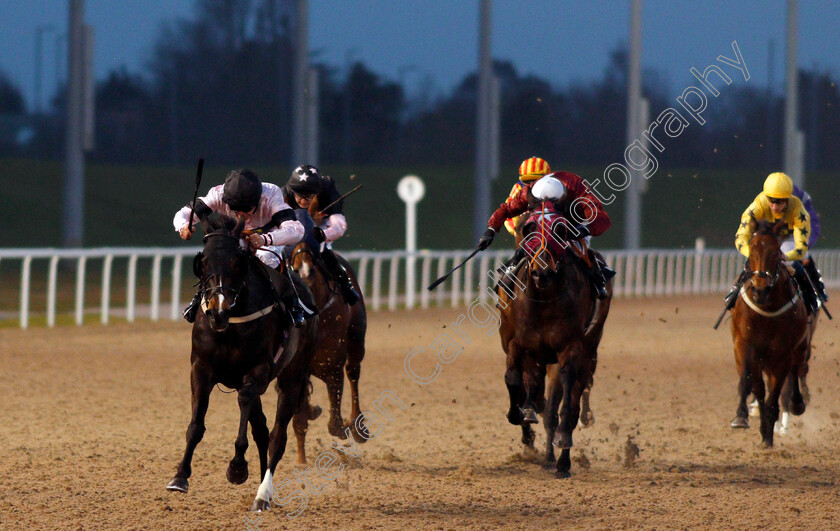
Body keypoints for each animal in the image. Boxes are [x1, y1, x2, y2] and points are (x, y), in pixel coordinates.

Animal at [165, 214, 322, 512]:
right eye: (203, 262)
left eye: (238, 262)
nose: (217, 311)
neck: (232, 323)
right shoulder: (201, 368)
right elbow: (196, 425)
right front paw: (180, 476)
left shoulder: (257, 372)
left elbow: (247, 409)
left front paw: (237, 468)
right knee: (262, 429)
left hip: (292, 375)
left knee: (277, 436)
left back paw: (263, 494)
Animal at [288, 241, 368, 462]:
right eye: (293, 270)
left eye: (314, 270)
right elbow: (299, 418)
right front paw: (301, 460)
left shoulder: (331, 364)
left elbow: (334, 424)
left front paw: (345, 426)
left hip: (357, 339)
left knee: (353, 373)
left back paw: (358, 425)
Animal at [498, 208, 612, 478]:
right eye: (527, 230)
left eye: (560, 232)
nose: (542, 272)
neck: (544, 300)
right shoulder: (517, 344)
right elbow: (514, 381)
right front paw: (520, 414)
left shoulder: (570, 350)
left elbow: (564, 405)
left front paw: (562, 451)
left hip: (588, 348)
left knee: (571, 399)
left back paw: (561, 458)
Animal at [728, 218, 812, 446]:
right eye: (752, 250)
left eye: (776, 252)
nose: (760, 290)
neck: (766, 308)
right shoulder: (744, 345)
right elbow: (748, 381)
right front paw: (741, 417)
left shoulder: (781, 353)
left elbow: (776, 392)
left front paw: (768, 432)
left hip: (800, 347)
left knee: (797, 372)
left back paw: (796, 405)